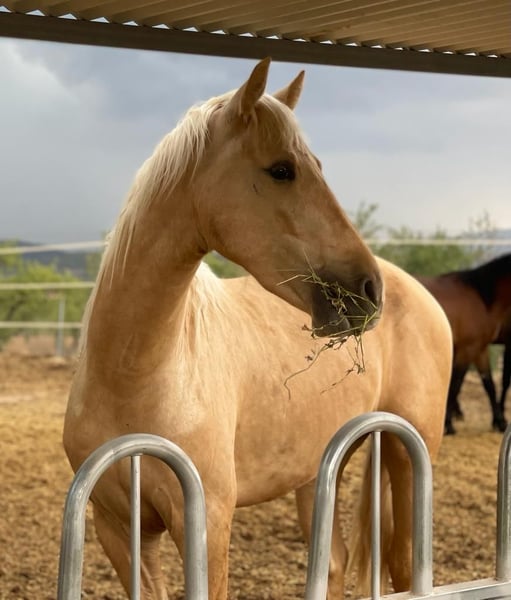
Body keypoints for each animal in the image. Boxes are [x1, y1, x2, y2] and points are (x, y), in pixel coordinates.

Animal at [63, 58, 452, 599]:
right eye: (282, 170)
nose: (368, 290)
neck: (135, 376)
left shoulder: (205, 523)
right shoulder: (117, 529)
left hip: (408, 452)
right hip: (324, 467)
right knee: (334, 561)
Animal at [417, 253, 511, 435]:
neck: (481, 298)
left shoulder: (479, 350)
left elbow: (489, 384)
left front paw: (499, 423)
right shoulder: (467, 350)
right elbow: (456, 385)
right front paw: (448, 424)